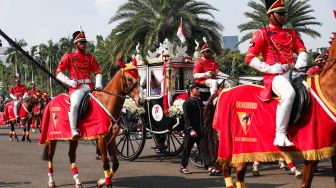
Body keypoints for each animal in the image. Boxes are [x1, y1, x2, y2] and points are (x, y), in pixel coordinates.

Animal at [40, 59, 140, 187]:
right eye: (129, 79)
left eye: (139, 78)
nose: (140, 100)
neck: (106, 102)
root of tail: (50, 101)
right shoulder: (101, 139)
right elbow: (106, 163)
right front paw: (106, 183)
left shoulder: (110, 137)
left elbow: (115, 163)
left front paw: (101, 181)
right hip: (53, 137)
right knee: (50, 156)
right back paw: (51, 180)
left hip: (73, 139)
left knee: (71, 155)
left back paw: (77, 181)